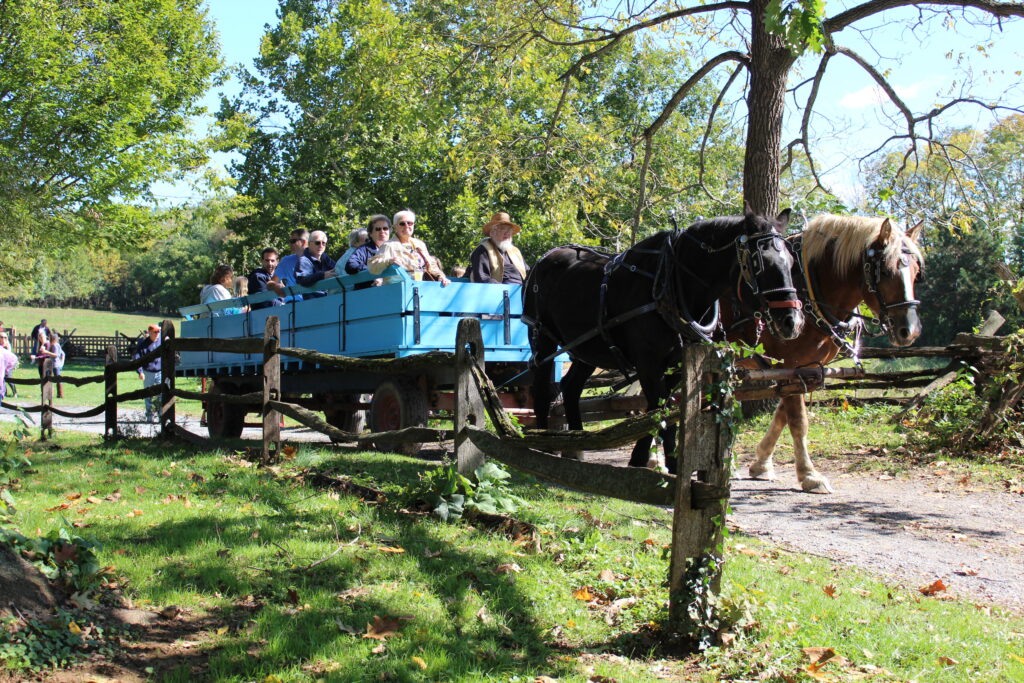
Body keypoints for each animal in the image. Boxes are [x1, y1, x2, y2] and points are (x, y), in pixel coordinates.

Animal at [528, 210, 806, 473]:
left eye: (792, 262)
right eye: (760, 263)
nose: (791, 321)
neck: (672, 284)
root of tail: (545, 258)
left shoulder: (677, 365)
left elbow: (660, 409)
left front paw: (642, 458)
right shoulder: (648, 363)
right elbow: (659, 408)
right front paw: (670, 464)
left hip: (587, 347)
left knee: (570, 387)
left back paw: (575, 445)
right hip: (543, 340)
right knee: (541, 388)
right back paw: (543, 444)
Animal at [720, 216, 929, 493]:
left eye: (916, 272)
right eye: (884, 271)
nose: (910, 330)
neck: (808, 288)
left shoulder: (803, 367)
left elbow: (782, 415)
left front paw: (762, 463)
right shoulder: (792, 365)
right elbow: (798, 420)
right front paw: (810, 475)